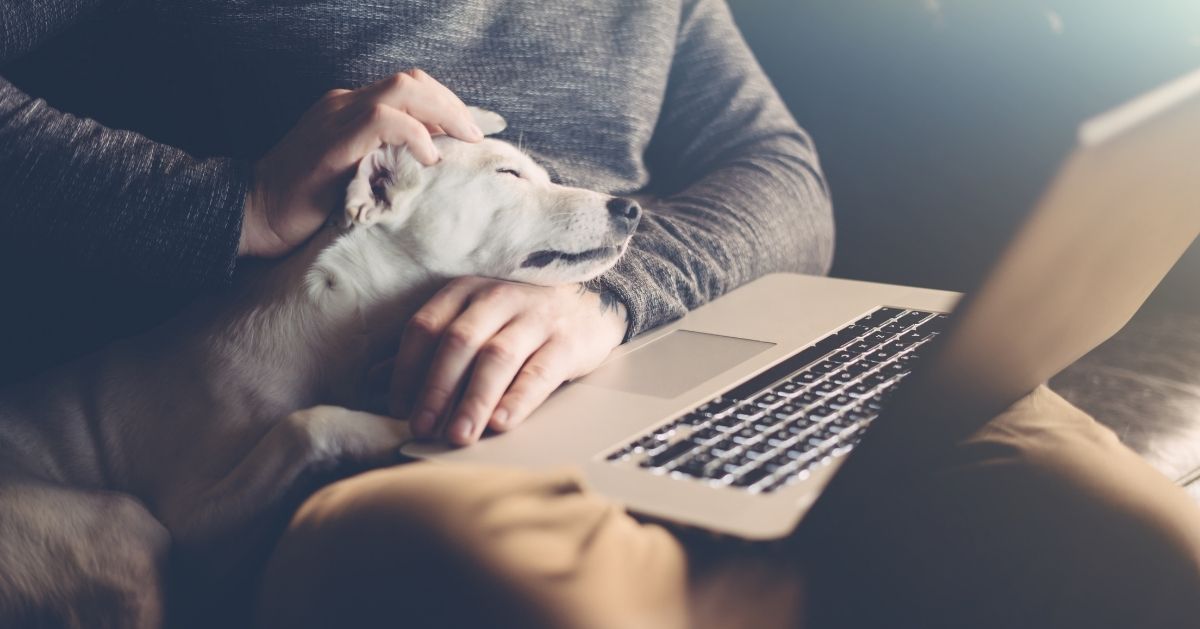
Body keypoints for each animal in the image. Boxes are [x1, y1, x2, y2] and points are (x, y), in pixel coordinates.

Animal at [0, 109, 638, 629]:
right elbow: (307, 423)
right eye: (507, 175)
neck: (339, 328)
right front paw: (402, 428)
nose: (630, 207)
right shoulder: (195, 528)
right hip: (125, 532)